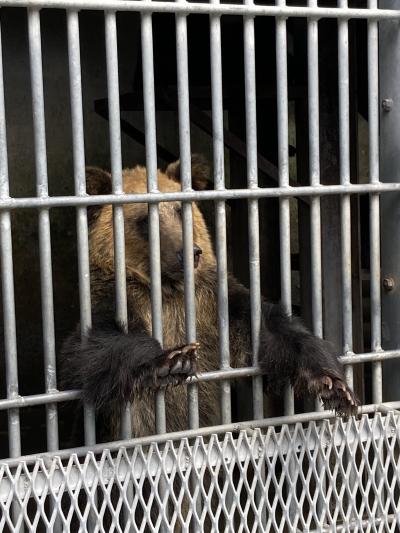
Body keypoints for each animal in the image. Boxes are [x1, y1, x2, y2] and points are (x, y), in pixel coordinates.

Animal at [61, 154, 358, 436]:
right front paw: (173, 360)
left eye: (180, 210)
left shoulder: (212, 304)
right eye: (145, 219)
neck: (168, 289)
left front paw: (333, 386)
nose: (189, 252)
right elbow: (92, 350)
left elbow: (267, 331)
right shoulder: (116, 295)